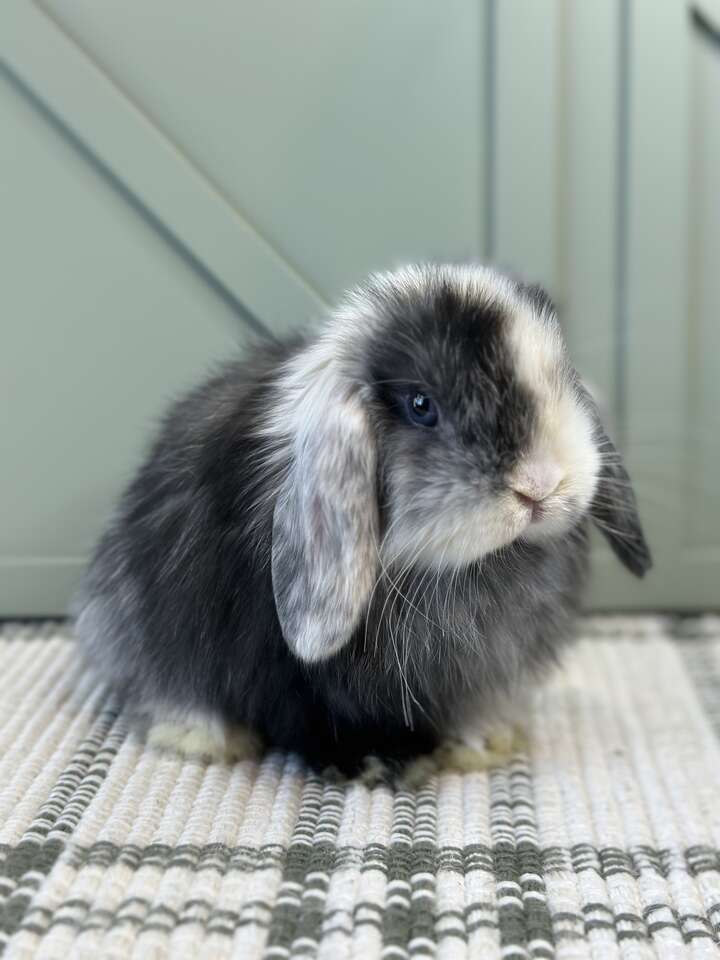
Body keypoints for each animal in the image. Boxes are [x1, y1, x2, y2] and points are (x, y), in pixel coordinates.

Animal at [74, 264, 652, 780]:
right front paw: (373, 765)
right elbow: (321, 723)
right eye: (420, 405)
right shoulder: (294, 677)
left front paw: (481, 747)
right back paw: (203, 738)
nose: (539, 484)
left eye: (560, 378)